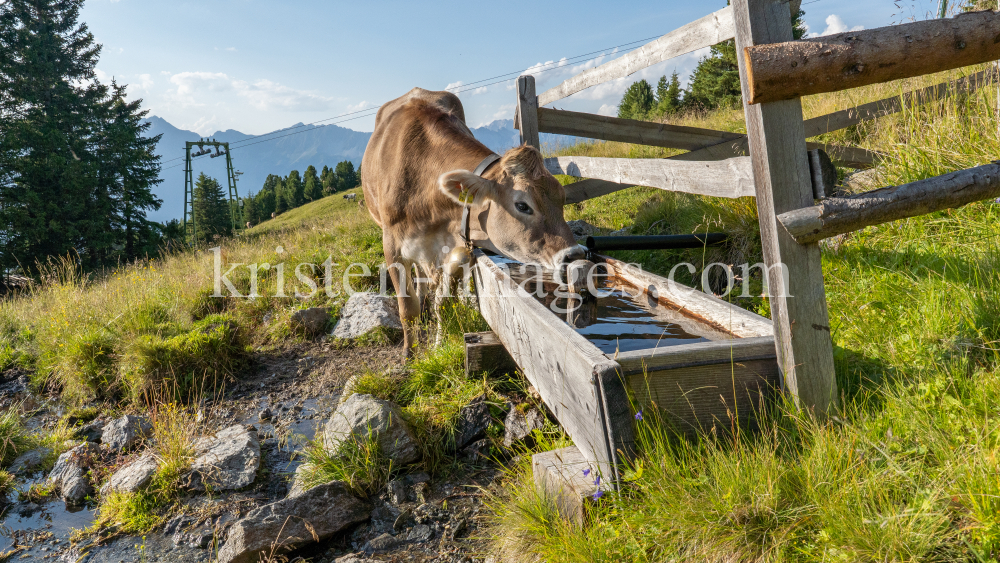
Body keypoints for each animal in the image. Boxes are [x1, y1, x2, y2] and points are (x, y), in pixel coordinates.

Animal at [364, 87, 584, 356]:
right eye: (522, 205)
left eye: (563, 198)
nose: (574, 256)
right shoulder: (392, 246)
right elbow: (407, 309)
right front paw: (410, 354)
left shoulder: (456, 247)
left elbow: (443, 304)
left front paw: (438, 346)